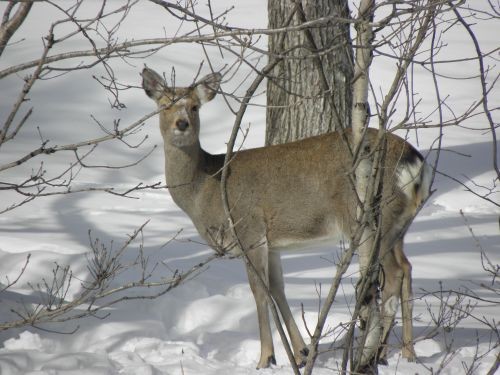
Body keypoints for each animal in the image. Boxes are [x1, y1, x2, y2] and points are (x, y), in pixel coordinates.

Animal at [142, 66, 434, 368]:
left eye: (194, 107)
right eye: (164, 105)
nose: (182, 124)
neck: (206, 188)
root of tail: (415, 162)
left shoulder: (250, 230)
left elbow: (259, 292)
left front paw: (265, 358)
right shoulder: (272, 243)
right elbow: (278, 290)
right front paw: (301, 352)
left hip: (376, 218)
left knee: (395, 274)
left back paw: (373, 356)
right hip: (399, 225)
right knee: (407, 268)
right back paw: (406, 354)